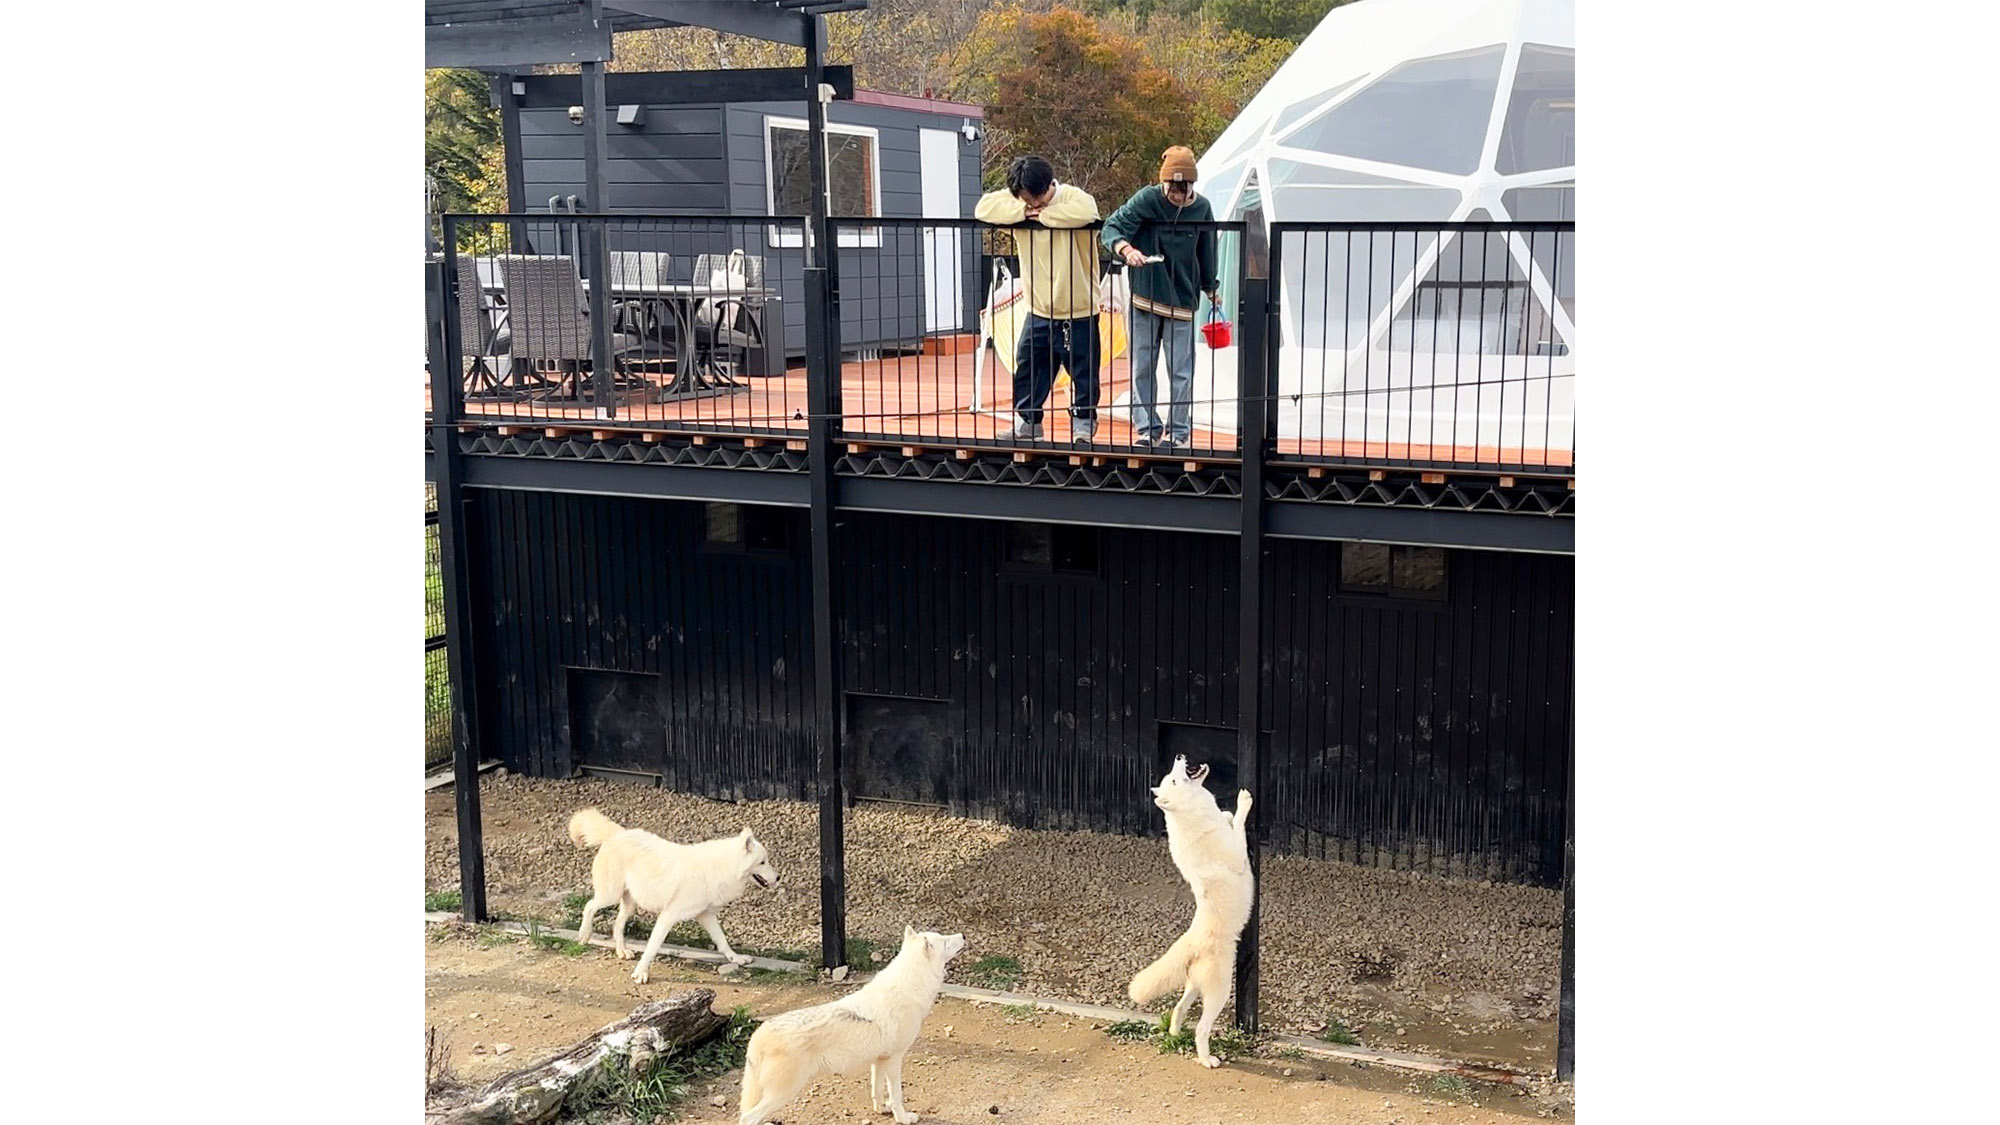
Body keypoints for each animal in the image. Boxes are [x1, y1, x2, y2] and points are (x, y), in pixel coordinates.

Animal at [572, 804, 780, 980]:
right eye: (763, 862)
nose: (778, 878)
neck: (720, 868)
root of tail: (618, 833)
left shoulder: (706, 916)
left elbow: (722, 941)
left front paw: (736, 959)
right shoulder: (667, 917)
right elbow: (652, 948)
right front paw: (640, 973)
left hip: (629, 905)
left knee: (617, 924)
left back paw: (622, 951)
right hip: (609, 896)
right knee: (589, 906)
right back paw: (584, 935)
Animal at [736, 924, 968, 1120]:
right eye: (945, 941)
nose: (963, 935)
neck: (909, 987)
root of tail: (758, 1034)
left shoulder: (879, 1060)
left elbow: (877, 1091)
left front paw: (882, 1110)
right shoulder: (894, 1060)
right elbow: (897, 1097)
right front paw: (903, 1119)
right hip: (784, 1092)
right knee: (747, 1118)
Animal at [1128, 748, 1248, 1064]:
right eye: (1173, 778)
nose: (1179, 756)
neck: (1194, 817)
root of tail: (1190, 941)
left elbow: (1228, 818)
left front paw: (1227, 813)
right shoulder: (1239, 855)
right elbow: (1240, 825)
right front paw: (1243, 803)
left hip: (1194, 988)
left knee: (1178, 1009)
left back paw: (1174, 1032)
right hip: (1220, 993)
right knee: (1201, 1029)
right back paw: (1207, 1059)